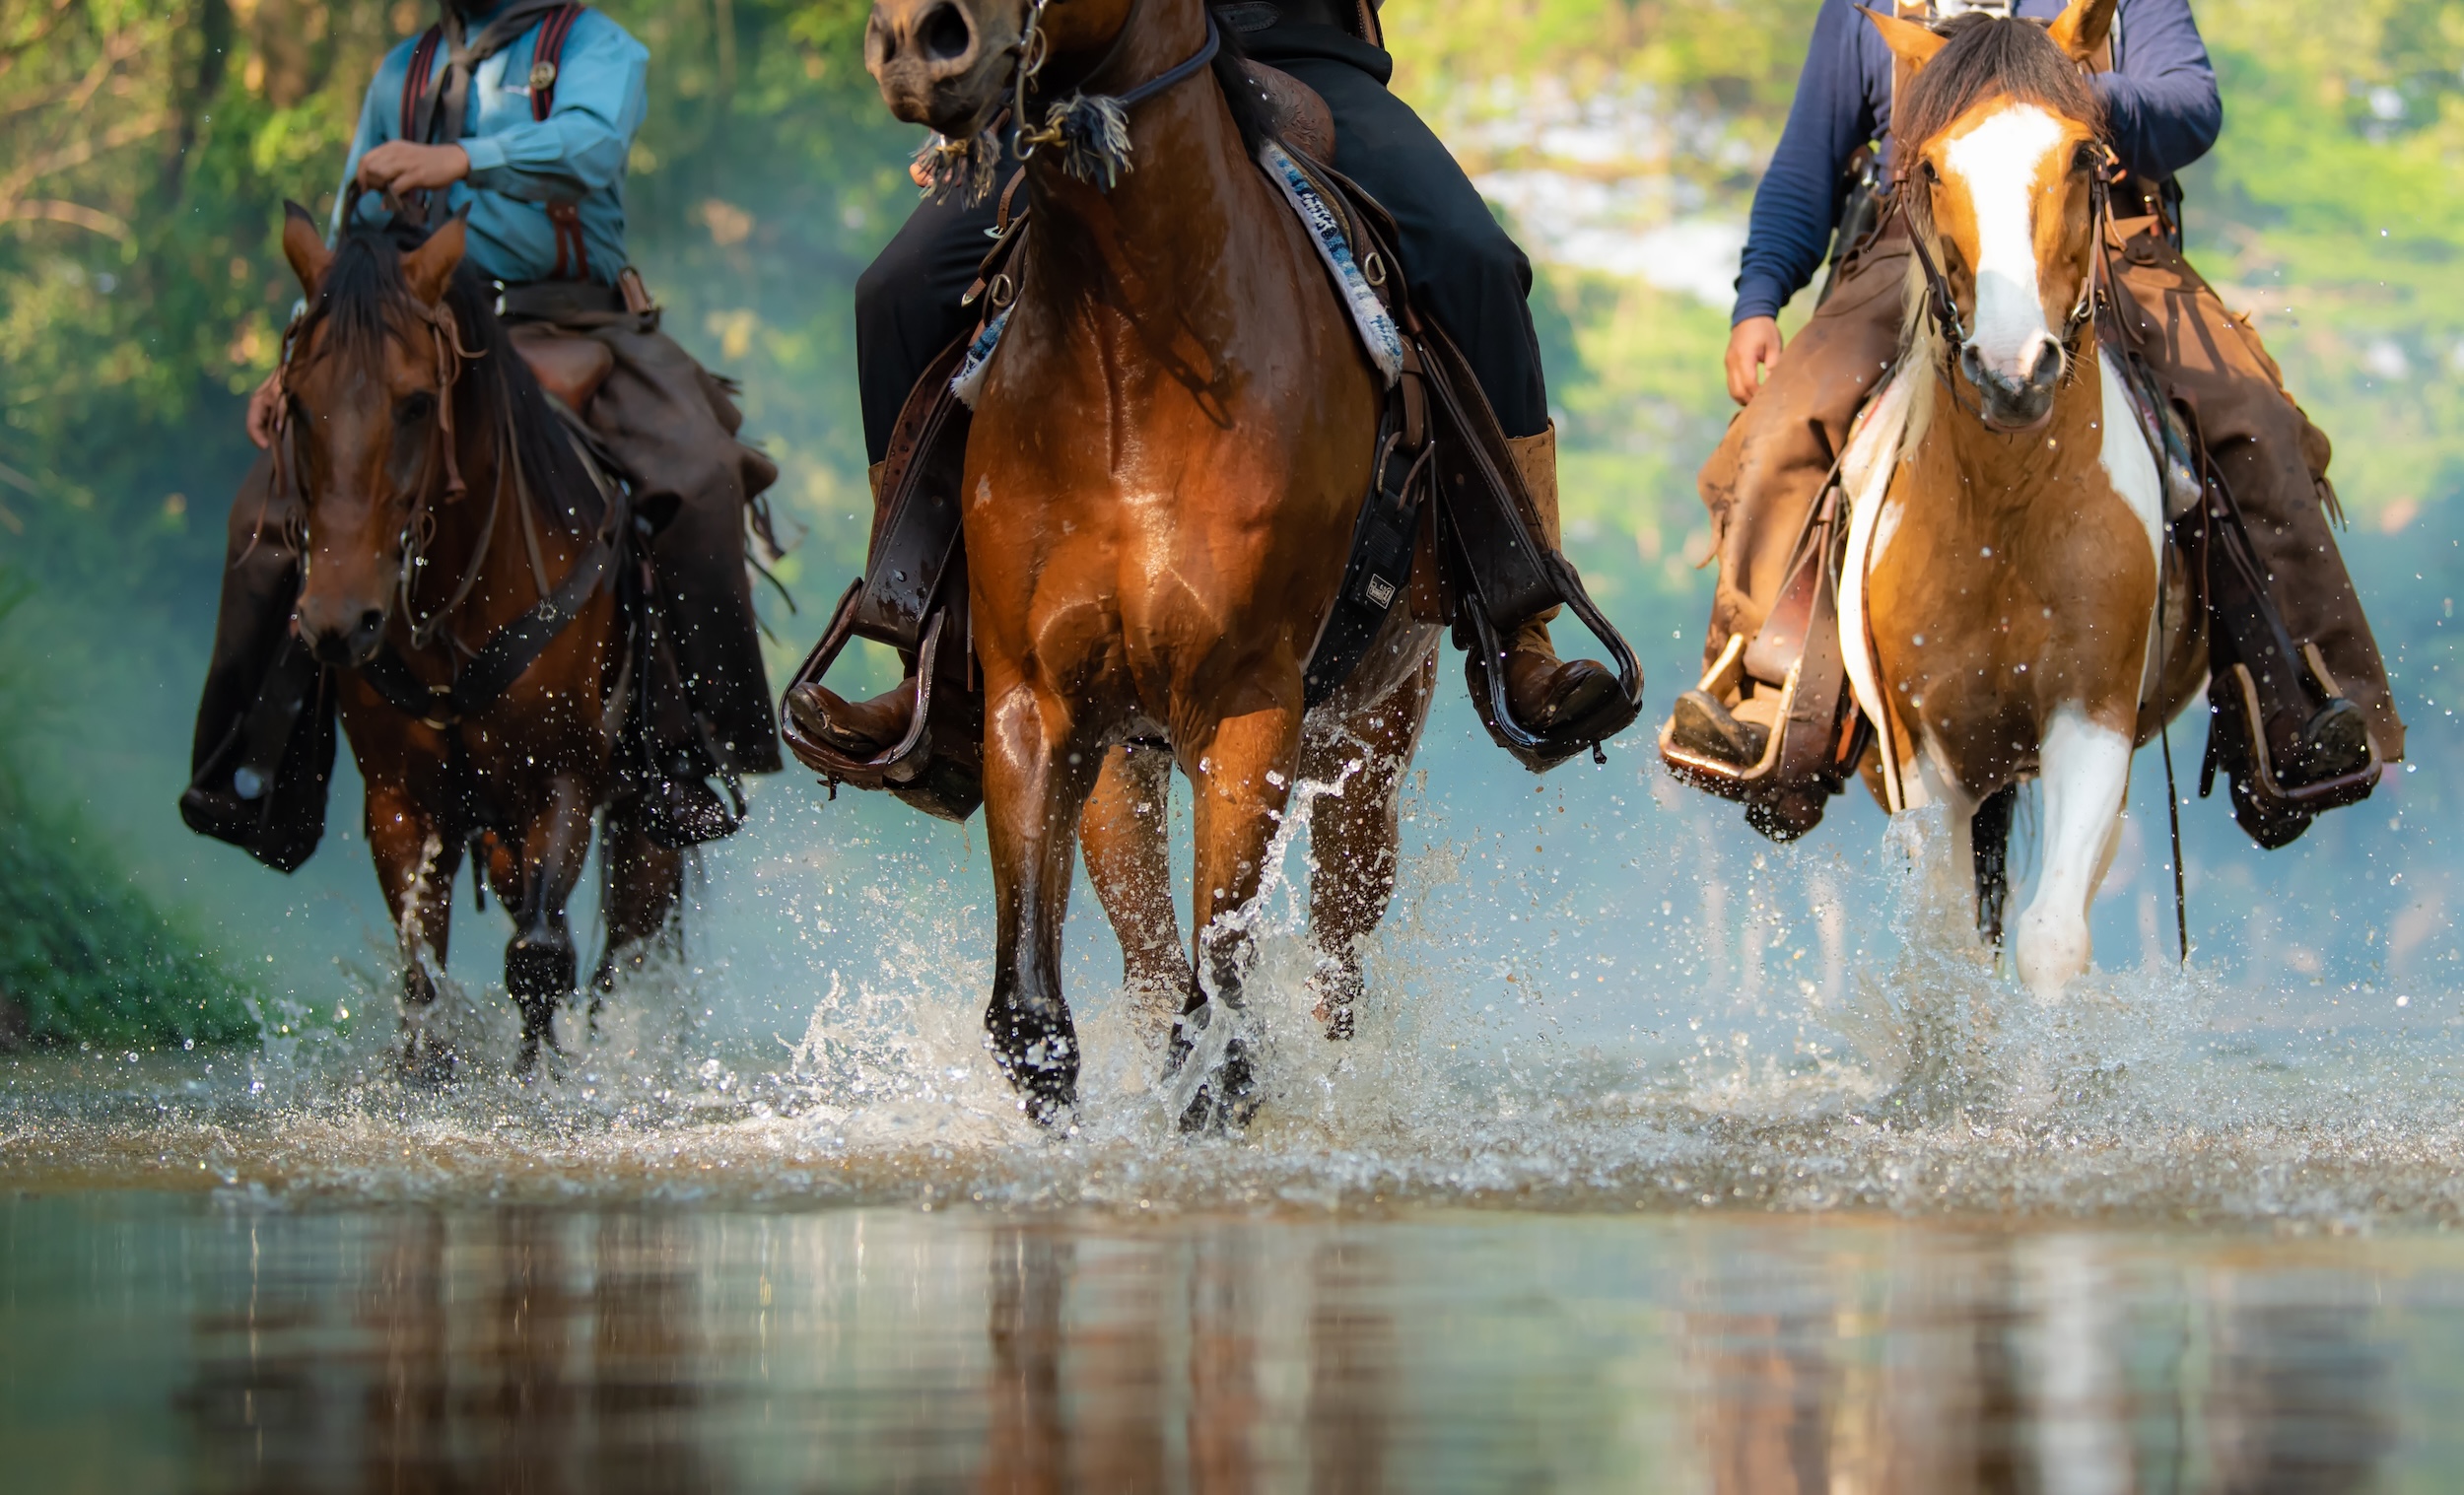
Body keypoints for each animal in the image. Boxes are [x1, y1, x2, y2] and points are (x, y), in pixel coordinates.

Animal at [271, 208, 683, 1073]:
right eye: (296, 398)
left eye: (416, 403)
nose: (337, 620)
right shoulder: (400, 801)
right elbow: (422, 976)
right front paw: (426, 1074)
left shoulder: (563, 780)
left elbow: (539, 958)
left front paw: (537, 1082)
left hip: (647, 820)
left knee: (616, 956)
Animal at [863, 0, 1442, 1125]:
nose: (918, 43)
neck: (1125, 359)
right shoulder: (1038, 704)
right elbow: (1038, 1018)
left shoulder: (1246, 704)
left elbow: (1221, 1026)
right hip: (1127, 760)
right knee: (1151, 962)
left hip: (1366, 756)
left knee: (1333, 966)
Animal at [1837, 0, 2206, 1000]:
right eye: (1931, 167)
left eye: (2085, 156)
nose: (2013, 371)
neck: (2004, 512)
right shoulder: (1927, 755)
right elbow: (1945, 959)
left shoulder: (2095, 717)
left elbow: (2051, 939)